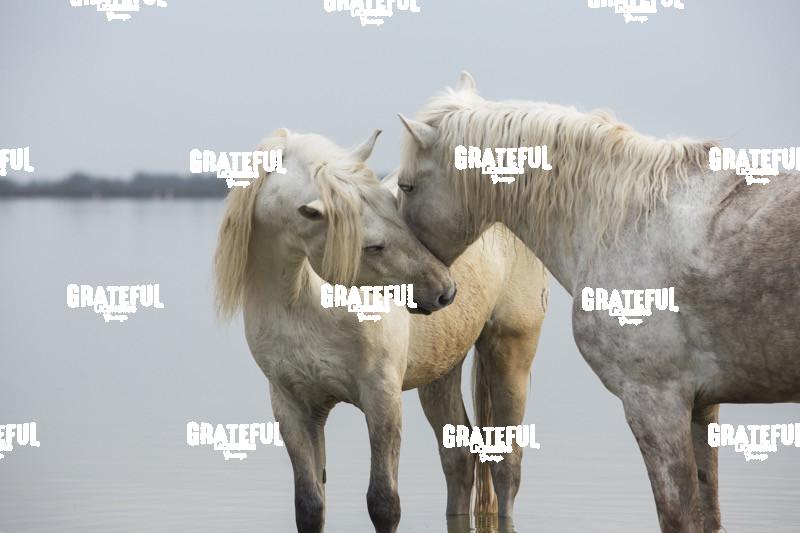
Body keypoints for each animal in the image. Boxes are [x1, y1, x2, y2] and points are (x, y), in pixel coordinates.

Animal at [213, 128, 548, 533]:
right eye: (373, 245)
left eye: (397, 212)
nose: (445, 291)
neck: (306, 304)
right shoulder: (293, 407)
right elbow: (309, 505)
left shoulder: (381, 399)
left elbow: (384, 503)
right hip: (441, 373)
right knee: (458, 460)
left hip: (510, 356)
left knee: (506, 467)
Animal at [395, 71, 800, 533]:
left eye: (406, 186)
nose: (427, 291)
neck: (625, 219)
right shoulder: (702, 405)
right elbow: (709, 513)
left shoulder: (655, 403)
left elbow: (678, 515)